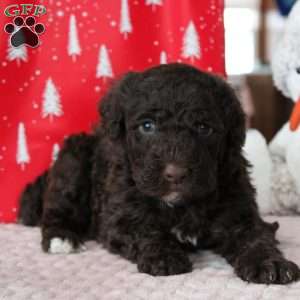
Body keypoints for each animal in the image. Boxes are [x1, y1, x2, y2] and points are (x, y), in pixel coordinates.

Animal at [18, 62, 298, 284]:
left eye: (203, 128)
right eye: (147, 126)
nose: (176, 173)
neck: (182, 205)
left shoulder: (239, 211)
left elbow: (255, 237)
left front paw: (269, 263)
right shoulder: (119, 216)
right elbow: (145, 230)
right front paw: (164, 255)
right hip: (73, 161)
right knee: (57, 206)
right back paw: (61, 238)